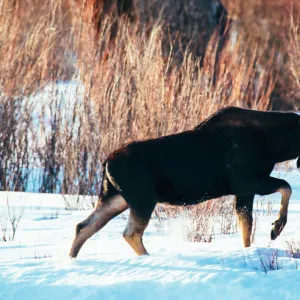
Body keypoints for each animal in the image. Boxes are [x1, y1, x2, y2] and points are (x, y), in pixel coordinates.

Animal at [69, 106, 298, 258]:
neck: (276, 145)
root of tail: (106, 163)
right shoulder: (245, 181)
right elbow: (286, 187)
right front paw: (276, 227)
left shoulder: (243, 191)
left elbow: (246, 228)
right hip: (143, 199)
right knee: (130, 232)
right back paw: (147, 257)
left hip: (117, 197)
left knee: (84, 226)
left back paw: (71, 259)